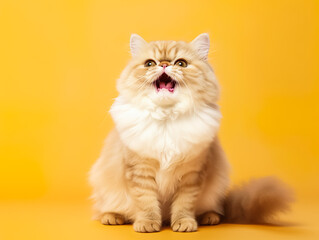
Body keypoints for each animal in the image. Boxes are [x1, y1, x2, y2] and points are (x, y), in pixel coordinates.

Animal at [90, 33, 296, 232]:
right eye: (150, 63)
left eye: (181, 63)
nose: (164, 64)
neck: (167, 118)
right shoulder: (140, 171)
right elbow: (146, 202)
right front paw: (148, 224)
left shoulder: (192, 175)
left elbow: (184, 204)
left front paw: (184, 223)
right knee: (107, 209)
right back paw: (112, 217)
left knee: (212, 209)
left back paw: (209, 217)